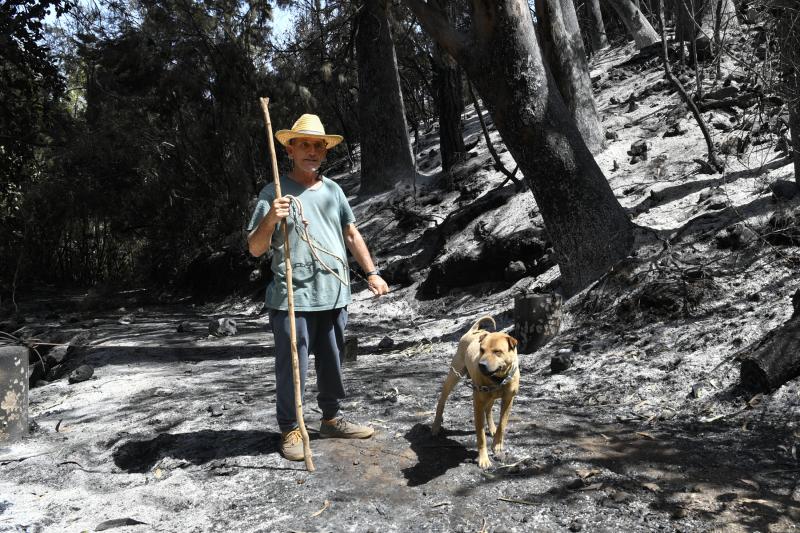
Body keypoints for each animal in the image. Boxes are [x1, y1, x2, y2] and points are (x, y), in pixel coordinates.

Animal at [432, 316, 520, 466]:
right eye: (482, 350)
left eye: (497, 351)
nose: (481, 365)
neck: (498, 379)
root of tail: (472, 331)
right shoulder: (478, 403)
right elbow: (480, 435)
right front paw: (484, 459)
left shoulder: (508, 399)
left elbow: (502, 423)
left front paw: (497, 444)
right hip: (454, 375)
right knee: (442, 400)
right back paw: (436, 425)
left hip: (489, 396)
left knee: (489, 409)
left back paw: (492, 428)